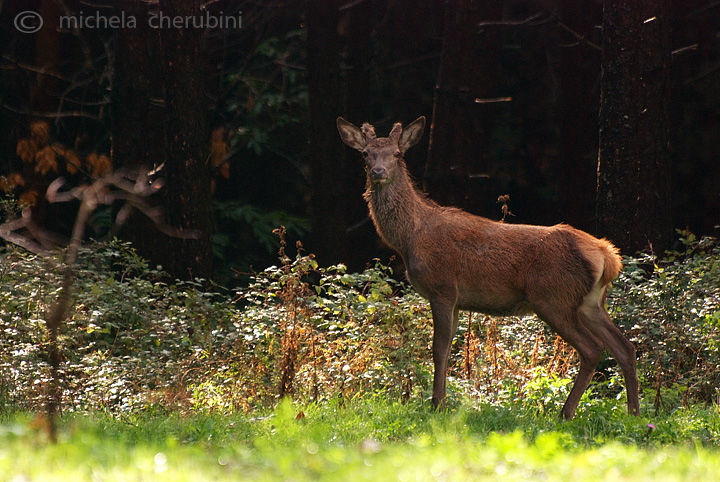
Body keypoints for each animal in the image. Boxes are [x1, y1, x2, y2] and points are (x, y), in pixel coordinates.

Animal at [338, 116, 640, 418]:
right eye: (365, 154)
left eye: (397, 154)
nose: (378, 171)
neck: (410, 238)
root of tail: (608, 256)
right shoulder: (456, 300)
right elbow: (448, 349)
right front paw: (443, 402)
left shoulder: (442, 287)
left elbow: (439, 349)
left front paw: (437, 405)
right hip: (590, 303)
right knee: (624, 347)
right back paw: (634, 413)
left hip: (553, 297)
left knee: (593, 349)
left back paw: (565, 413)